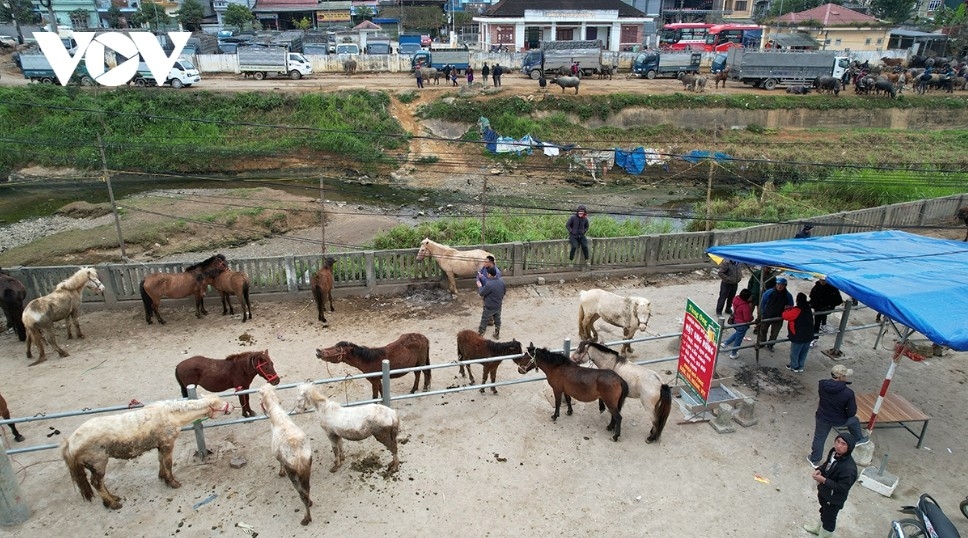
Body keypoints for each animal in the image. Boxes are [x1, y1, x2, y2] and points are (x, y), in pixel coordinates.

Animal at [62, 394, 233, 510]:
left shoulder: (160, 445)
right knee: (97, 483)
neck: (172, 415)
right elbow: (168, 463)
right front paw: (172, 482)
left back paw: (113, 498)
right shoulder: (167, 444)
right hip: (98, 463)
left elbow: (160, 461)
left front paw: (163, 477)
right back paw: (113, 503)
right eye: (220, 402)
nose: (231, 407)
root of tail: (70, 443)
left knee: (99, 483)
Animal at [259, 384, 313, 525]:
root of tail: (299, 457)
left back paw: (306, 518)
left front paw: (280, 472)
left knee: (302, 494)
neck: (278, 419)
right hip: (306, 471)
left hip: (293, 474)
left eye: (260, 397)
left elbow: (279, 462)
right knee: (307, 490)